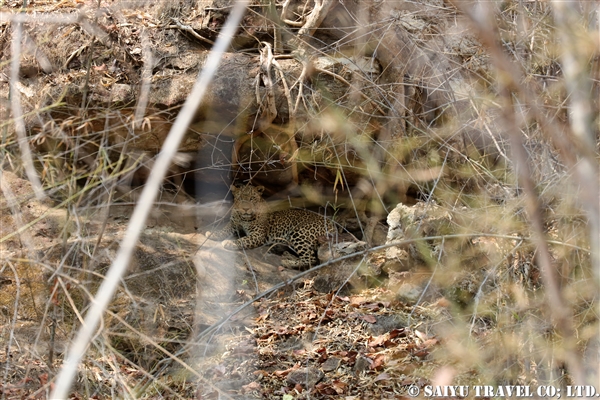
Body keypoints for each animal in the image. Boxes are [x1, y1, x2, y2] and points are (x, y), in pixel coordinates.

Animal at [207, 185, 338, 268]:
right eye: (240, 199)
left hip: (299, 232)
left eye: (252, 198)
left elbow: (244, 239)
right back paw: (286, 255)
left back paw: (286, 263)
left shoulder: (258, 235)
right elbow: (224, 230)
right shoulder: (233, 224)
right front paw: (212, 234)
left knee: (311, 259)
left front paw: (230, 242)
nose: (245, 209)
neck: (243, 218)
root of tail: (333, 224)